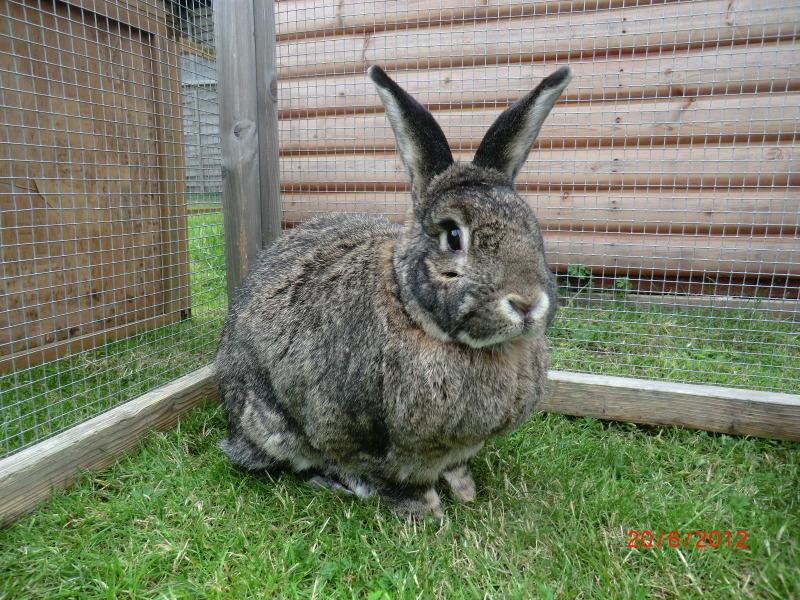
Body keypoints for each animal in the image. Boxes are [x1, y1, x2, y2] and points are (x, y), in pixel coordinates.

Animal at [216, 63, 572, 516]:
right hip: (268, 422)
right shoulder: (349, 427)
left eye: (533, 226)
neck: (409, 309)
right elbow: (379, 471)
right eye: (453, 236)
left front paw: (465, 490)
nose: (527, 303)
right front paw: (424, 509)